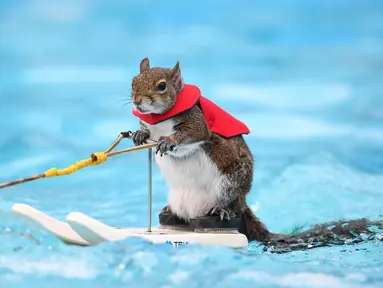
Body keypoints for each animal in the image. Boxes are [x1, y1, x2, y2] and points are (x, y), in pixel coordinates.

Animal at [127, 56, 383, 252]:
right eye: (133, 82)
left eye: (162, 86)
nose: (137, 102)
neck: (160, 119)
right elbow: (145, 132)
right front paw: (139, 135)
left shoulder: (196, 122)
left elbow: (193, 136)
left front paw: (168, 141)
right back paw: (170, 214)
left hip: (230, 185)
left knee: (232, 207)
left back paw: (222, 210)